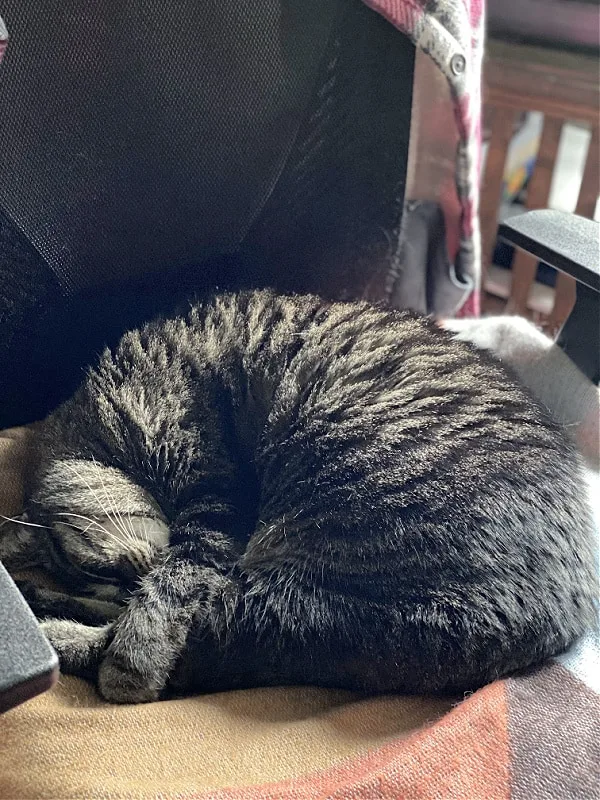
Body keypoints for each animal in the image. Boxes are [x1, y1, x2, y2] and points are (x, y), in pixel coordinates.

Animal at [2, 290, 596, 704]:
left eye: (97, 567)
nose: (124, 583)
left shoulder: (213, 496)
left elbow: (171, 587)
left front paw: (133, 656)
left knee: (198, 639)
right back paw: (42, 605)